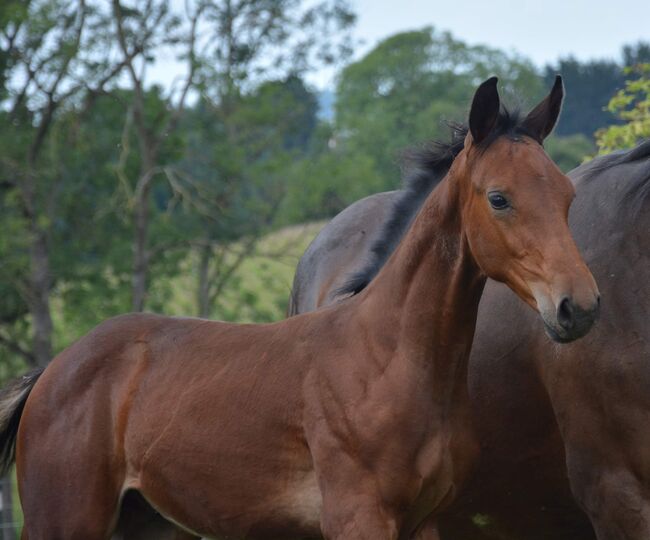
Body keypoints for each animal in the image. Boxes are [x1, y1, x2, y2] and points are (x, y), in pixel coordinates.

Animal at [0, 77, 596, 540]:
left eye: (567, 196)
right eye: (499, 198)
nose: (579, 306)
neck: (386, 358)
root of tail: (53, 372)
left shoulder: (425, 521)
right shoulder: (358, 517)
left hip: (146, 523)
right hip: (66, 518)